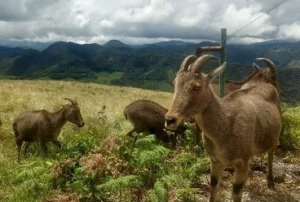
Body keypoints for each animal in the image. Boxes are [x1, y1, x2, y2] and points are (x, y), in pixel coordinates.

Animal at [164, 54, 282, 202]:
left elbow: (236, 193)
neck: (225, 126)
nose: (170, 119)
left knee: (271, 153)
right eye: (175, 83)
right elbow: (214, 186)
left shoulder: (242, 163)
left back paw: (270, 181)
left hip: (275, 135)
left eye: (196, 86)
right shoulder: (215, 160)